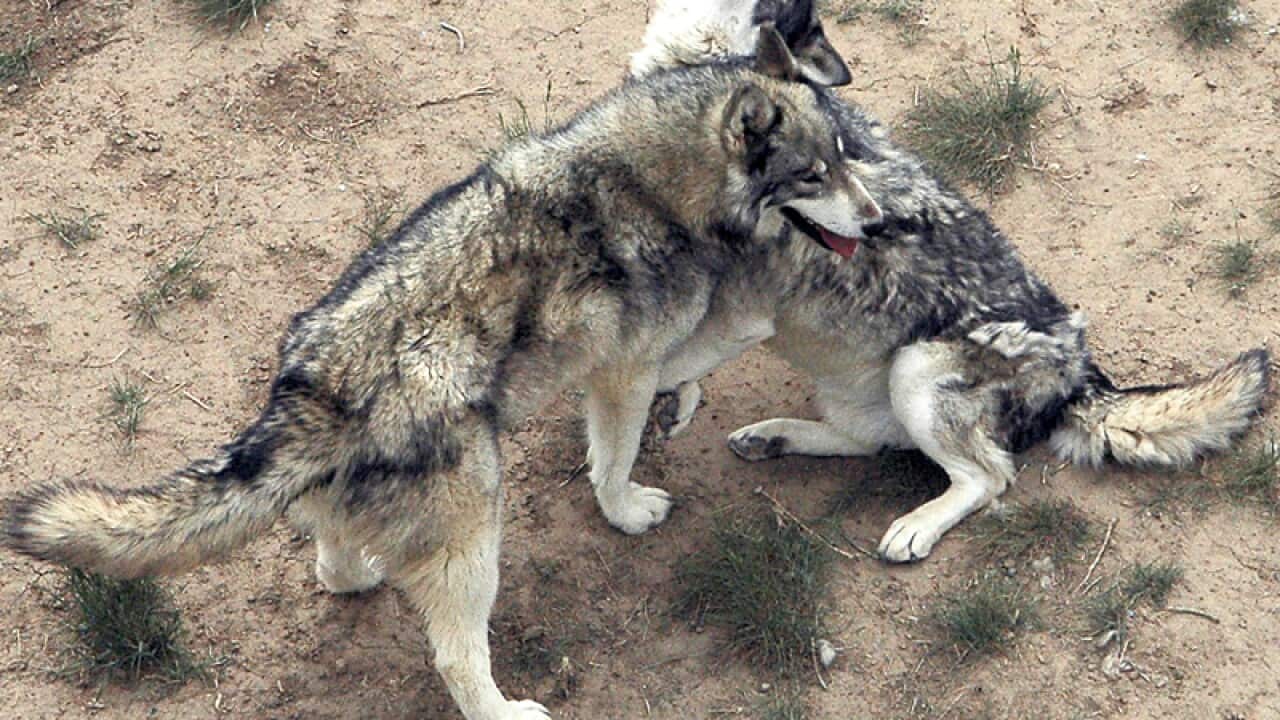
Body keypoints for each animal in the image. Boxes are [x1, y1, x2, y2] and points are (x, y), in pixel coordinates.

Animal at [2, 39, 884, 720]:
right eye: (812, 175)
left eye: (847, 159)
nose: (879, 222)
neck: (653, 182)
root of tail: (311, 401)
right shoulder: (621, 374)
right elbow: (614, 461)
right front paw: (629, 510)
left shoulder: (633, 362)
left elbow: (691, 371)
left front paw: (689, 403)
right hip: (477, 541)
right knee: (457, 660)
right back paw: (507, 710)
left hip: (381, 524)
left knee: (334, 566)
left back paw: (358, 573)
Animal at [630, 14, 1272, 562]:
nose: (874, 224)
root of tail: (1081, 375)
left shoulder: (740, 316)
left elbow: (658, 365)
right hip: (863, 386)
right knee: (870, 443)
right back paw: (772, 438)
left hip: (916, 371)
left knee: (987, 476)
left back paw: (915, 527)